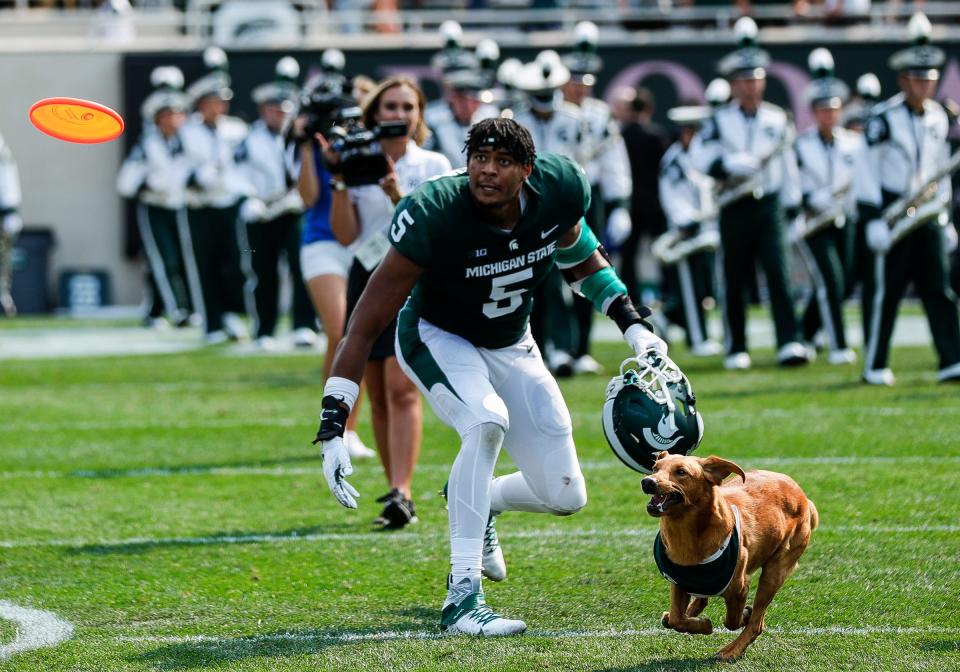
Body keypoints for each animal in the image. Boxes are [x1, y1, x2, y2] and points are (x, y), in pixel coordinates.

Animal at [640, 452, 820, 660]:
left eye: (681, 472)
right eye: (655, 468)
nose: (648, 481)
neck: (689, 534)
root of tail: (804, 498)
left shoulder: (740, 587)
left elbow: (732, 621)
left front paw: (738, 618)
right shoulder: (678, 580)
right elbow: (677, 618)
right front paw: (700, 624)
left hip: (776, 570)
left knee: (757, 624)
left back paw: (731, 650)